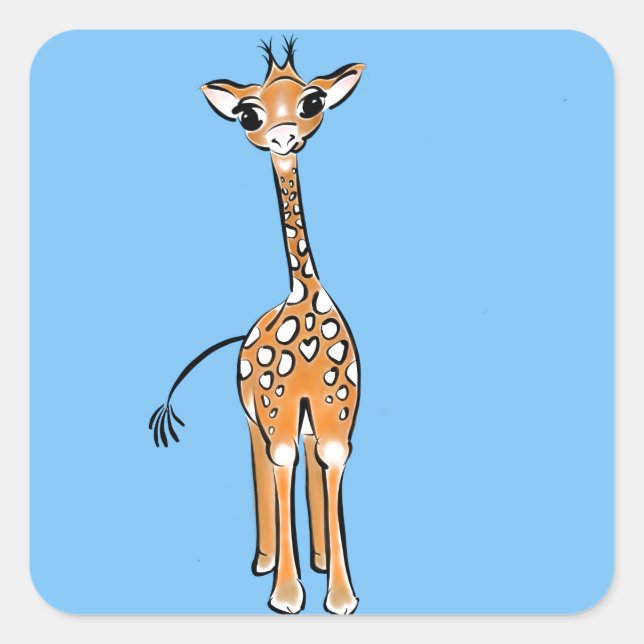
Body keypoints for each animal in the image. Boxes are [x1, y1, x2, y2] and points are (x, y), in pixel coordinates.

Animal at [149, 37, 364, 615]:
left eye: (313, 102)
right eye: (249, 114)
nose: (284, 136)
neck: (304, 298)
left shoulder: (337, 414)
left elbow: (330, 465)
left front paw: (340, 596)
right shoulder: (275, 411)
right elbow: (280, 466)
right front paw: (287, 595)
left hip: (304, 417)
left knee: (307, 464)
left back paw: (318, 561)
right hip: (254, 415)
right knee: (264, 465)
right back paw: (266, 562)